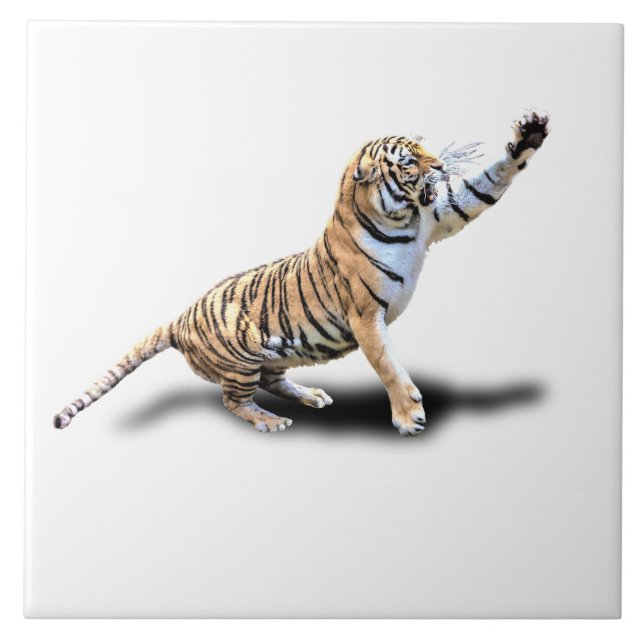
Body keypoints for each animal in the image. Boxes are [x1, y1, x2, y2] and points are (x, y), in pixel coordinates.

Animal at [53, 110, 549, 436]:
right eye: (410, 161)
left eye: (426, 149)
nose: (442, 165)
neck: (402, 219)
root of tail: (179, 317)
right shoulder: (366, 316)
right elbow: (388, 365)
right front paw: (409, 418)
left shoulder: (441, 214)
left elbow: (485, 184)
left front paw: (528, 135)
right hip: (241, 354)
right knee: (233, 399)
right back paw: (269, 421)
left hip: (274, 353)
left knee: (271, 381)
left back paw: (312, 395)